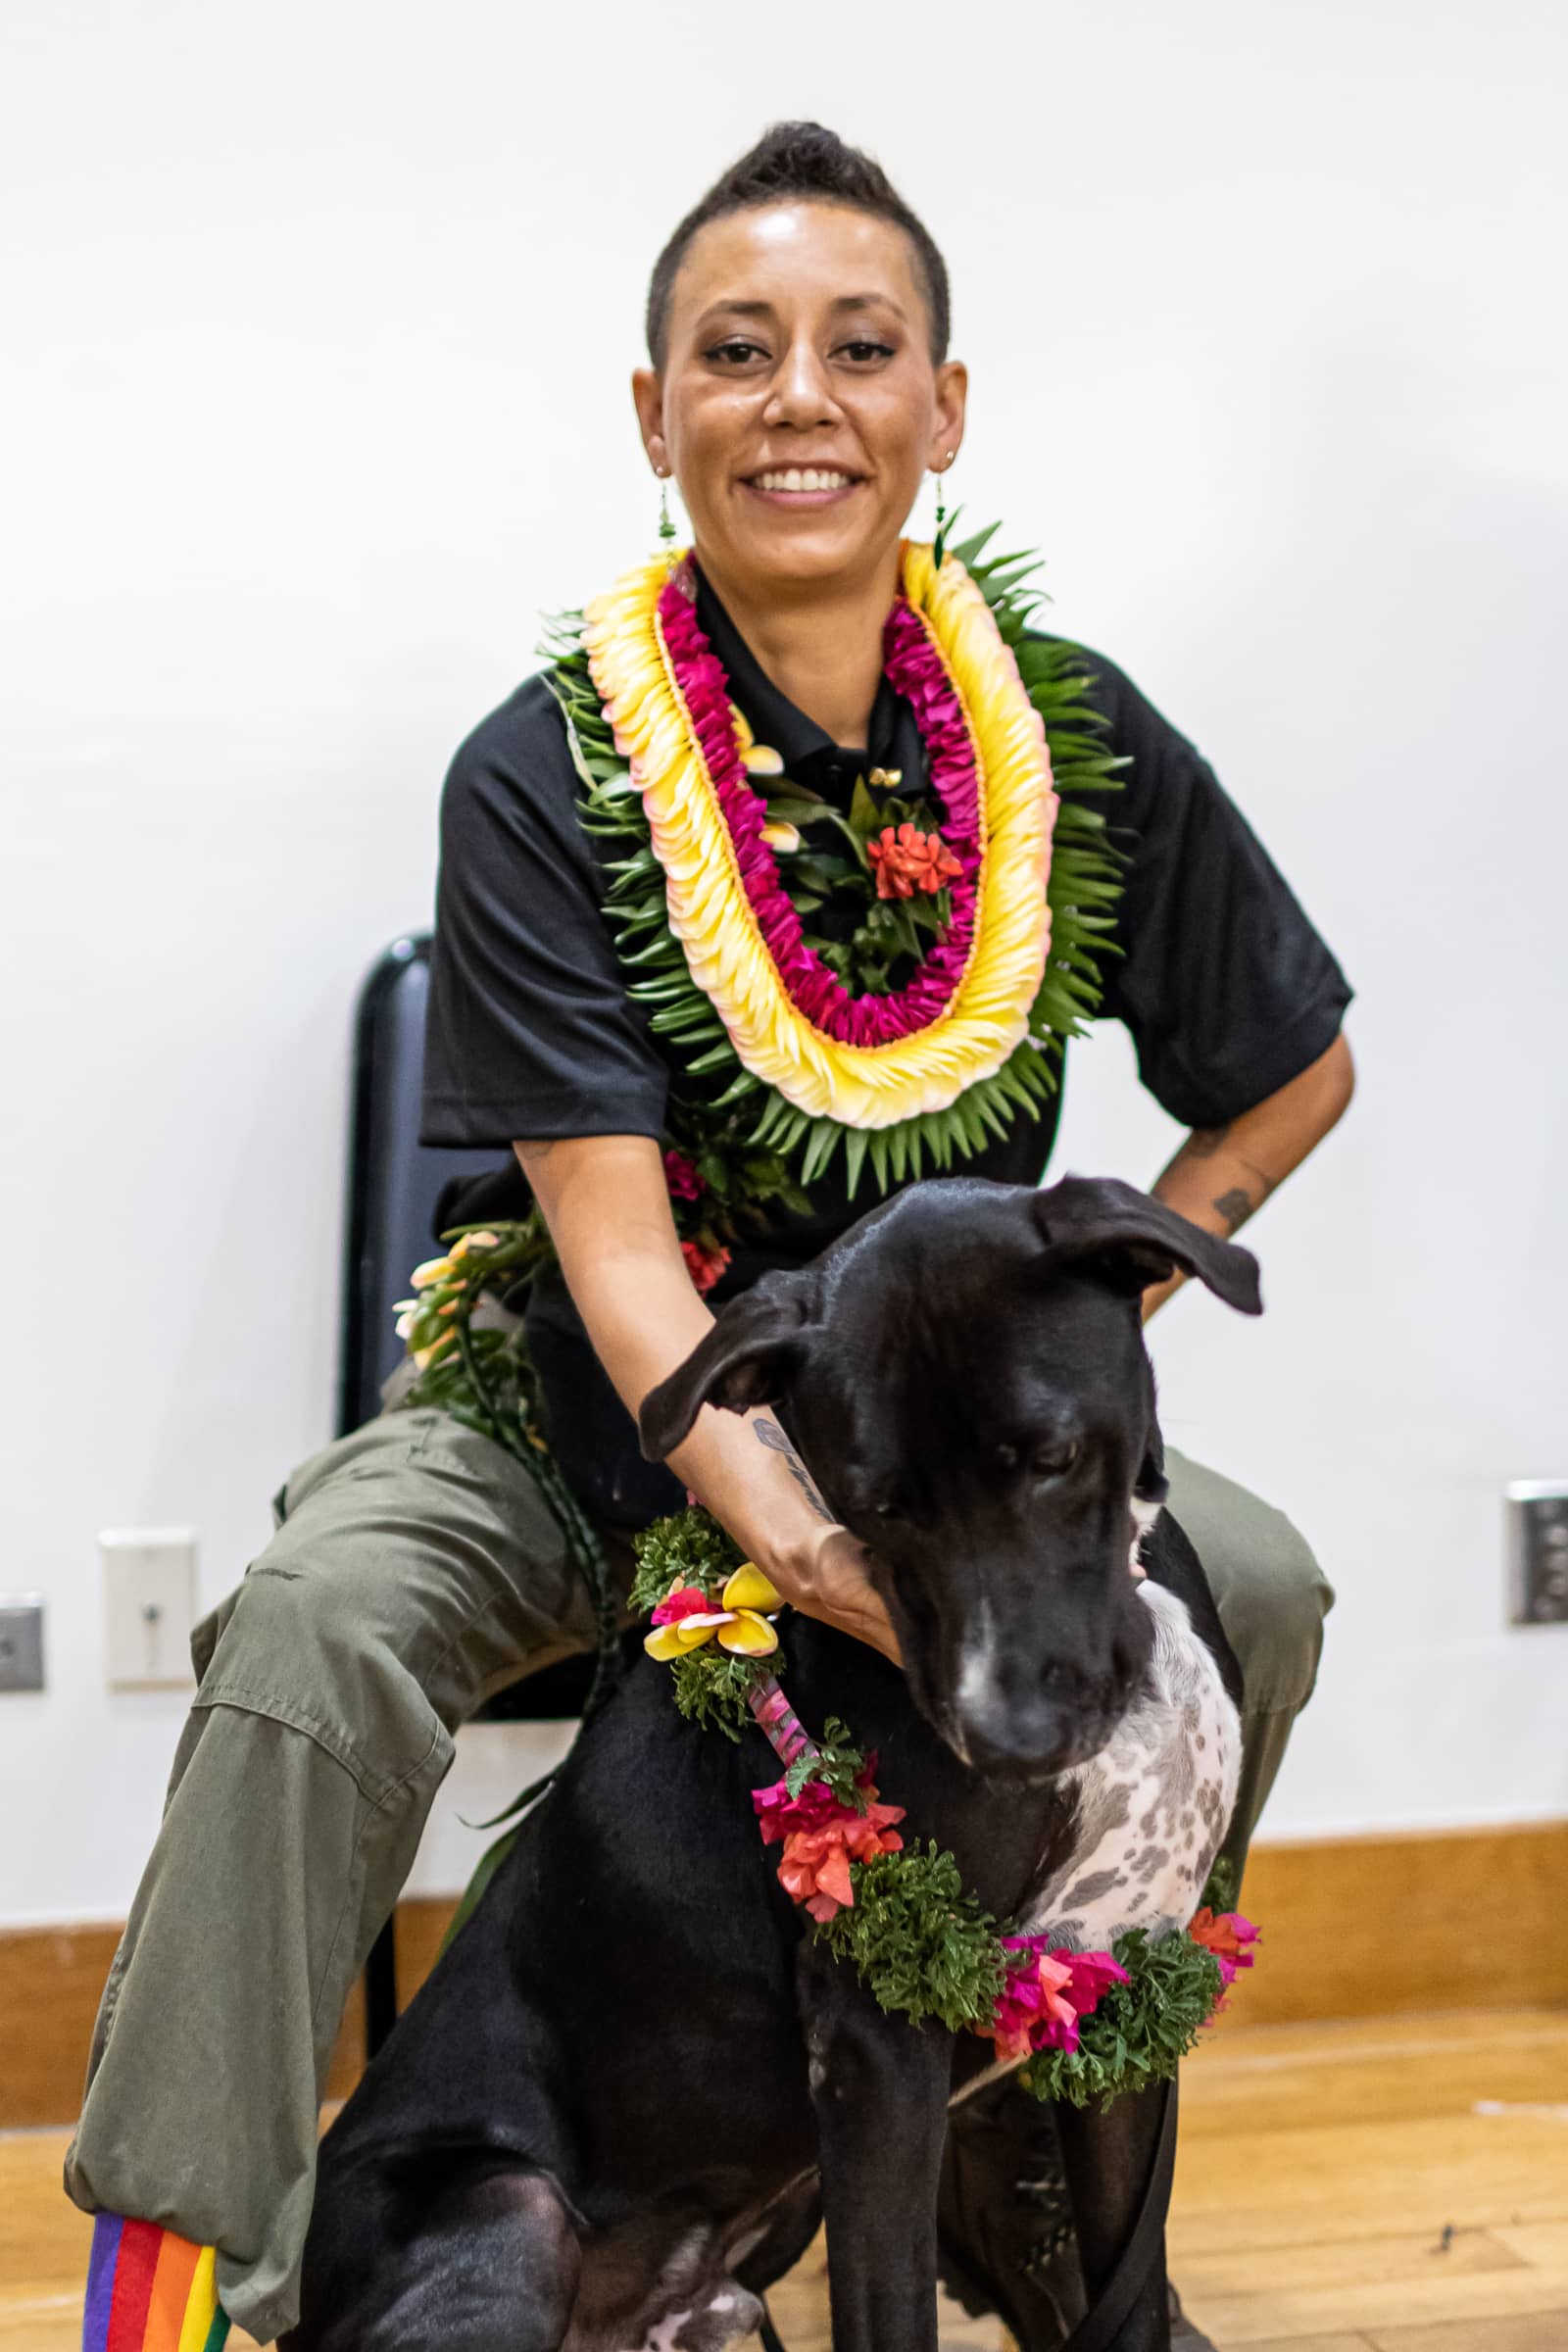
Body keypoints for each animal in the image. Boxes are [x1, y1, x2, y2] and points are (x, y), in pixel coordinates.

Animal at [287, 1176, 1259, 2352]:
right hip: (510, 2211)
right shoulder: (876, 2051)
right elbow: (890, 2316)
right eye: (878, 1506)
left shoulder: (1124, 1993)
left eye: (1054, 1456)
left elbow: (1129, 2298)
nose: (1007, 1740)